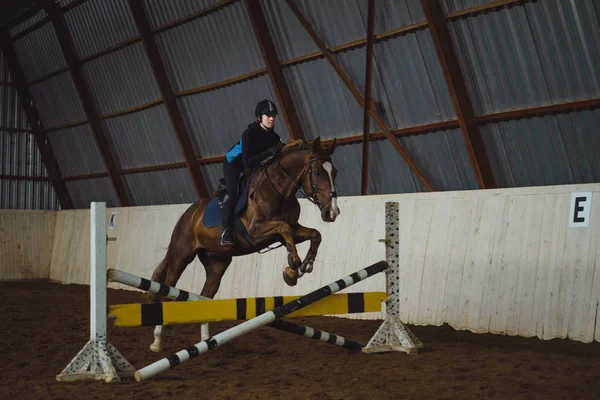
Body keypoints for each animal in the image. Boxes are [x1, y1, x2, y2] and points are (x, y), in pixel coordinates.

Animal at [148, 137, 340, 350]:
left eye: (334, 172)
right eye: (317, 172)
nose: (332, 212)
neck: (278, 189)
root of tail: (188, 214)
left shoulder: (289, 230)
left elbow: (314, 234)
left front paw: (306, 265)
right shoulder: (256, 232)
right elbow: (285, 229)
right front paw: (292, 268)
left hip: (217, 263)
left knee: (206, 295)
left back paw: (207, 341)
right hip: (181, 256)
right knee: (166, 291)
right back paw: (157, 341)